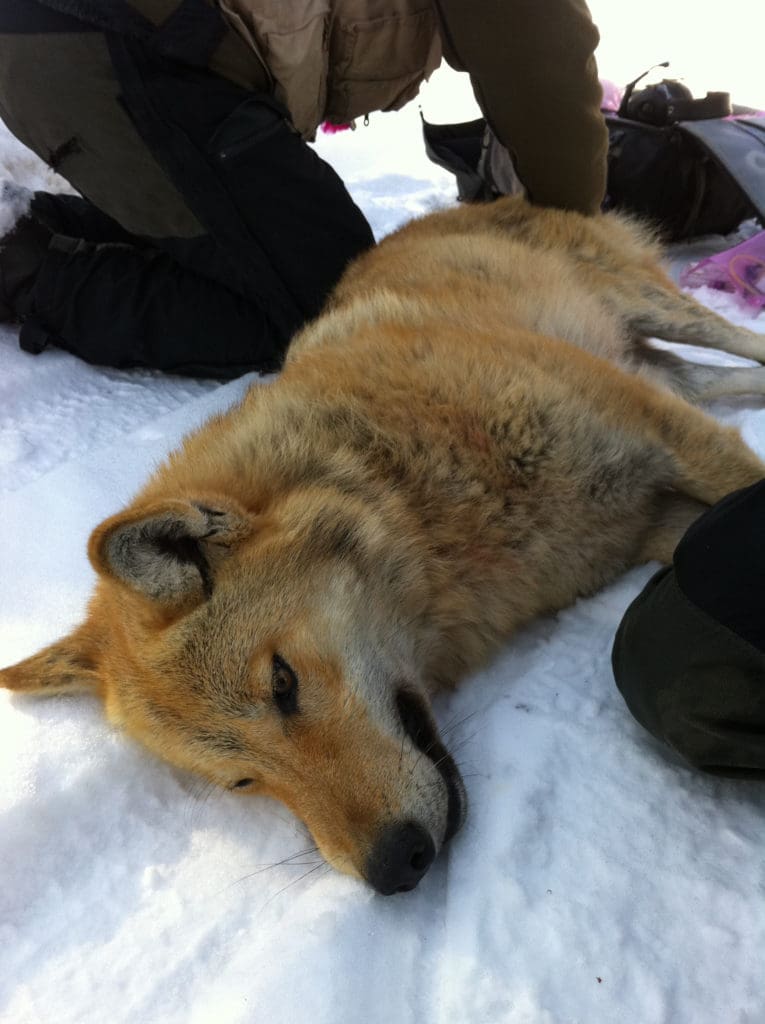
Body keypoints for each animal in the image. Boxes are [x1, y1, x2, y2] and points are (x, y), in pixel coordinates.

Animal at [1, 197, 765, 888]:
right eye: (242, 781)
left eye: (283, 683)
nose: (392, 867)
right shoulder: (657, 521)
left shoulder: (662, 438)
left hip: (650, 306)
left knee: (737, 342)